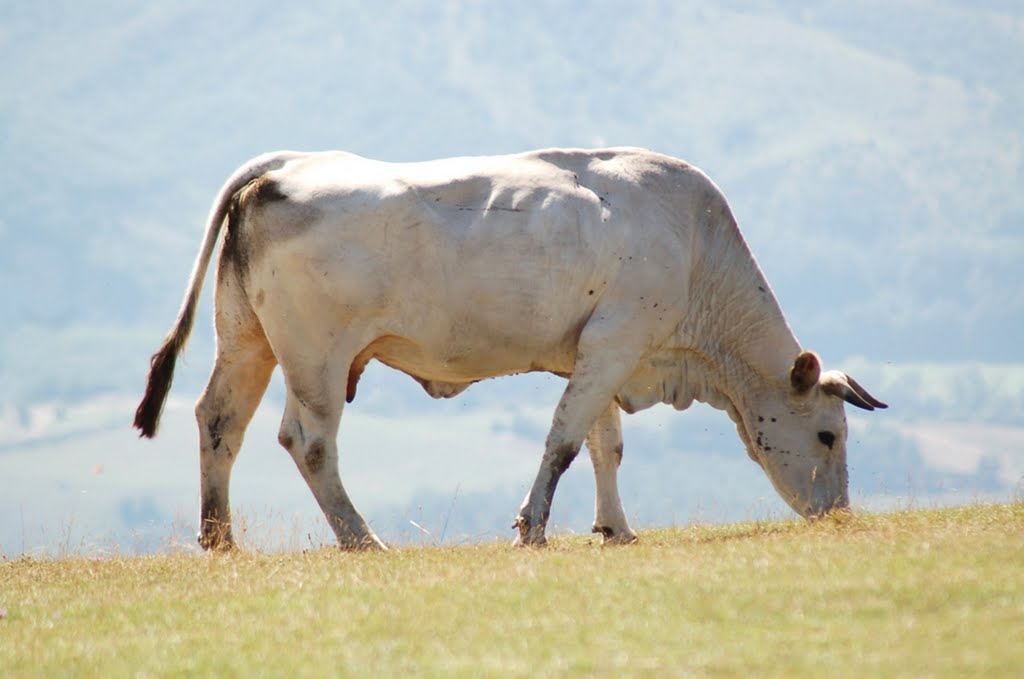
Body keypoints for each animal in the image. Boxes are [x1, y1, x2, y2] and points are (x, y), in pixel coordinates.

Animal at [134, 146, 888, 548]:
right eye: (828, 434)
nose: (839, 513)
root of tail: (285, 166)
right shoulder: (616, 344)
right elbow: (563, 441)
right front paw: (533, 526)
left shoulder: (603, 353)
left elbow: (604, 446)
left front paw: (615, 528)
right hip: (314, 357)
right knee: (308, 442)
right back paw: (361, 538)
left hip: (247, 343)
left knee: (219, 422)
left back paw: (221, 540)